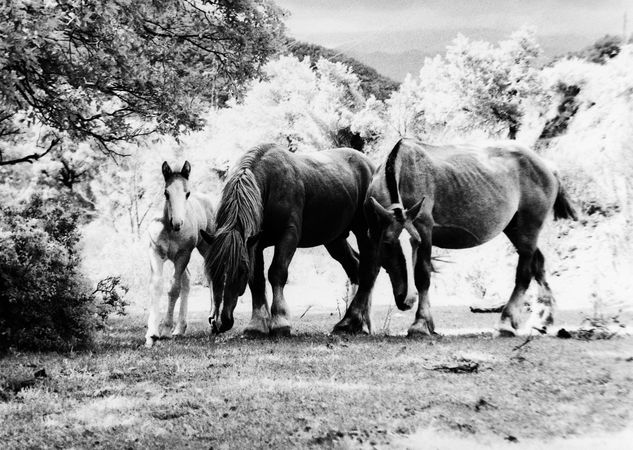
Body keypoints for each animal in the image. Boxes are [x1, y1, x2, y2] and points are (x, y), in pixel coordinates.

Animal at [145, 162, 215, 348]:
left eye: (187, 193)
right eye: (166, 192)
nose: (177, 223)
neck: (169, 230)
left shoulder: (182, 256)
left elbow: (173, 289)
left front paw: (165, 330)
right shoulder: (155, 253)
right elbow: (156, 286)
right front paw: (151, 334)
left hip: (205, 248)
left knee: (210, 275)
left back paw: (214, 320)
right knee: (188, 279)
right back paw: (180, 328)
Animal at [201, 143, 376, 334]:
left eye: (240, 271)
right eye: (211, 271)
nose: (218, 321)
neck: (270, 183)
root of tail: (369, 165)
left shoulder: (288, 235)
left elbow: (277, 272)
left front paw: (280, 321)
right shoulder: (255, 244)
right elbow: (257, 280)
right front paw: (257, 324)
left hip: (364, 231)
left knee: (368, 270)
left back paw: (354, 321)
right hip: (335, 240)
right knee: (355, 267)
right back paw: (358, 323)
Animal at [338, 139, 576, 336]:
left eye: (414, 243)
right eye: (388, 243)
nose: (408, 299)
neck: (401, 170)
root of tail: (547, 166)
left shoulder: (424, 229)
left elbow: (422, 276)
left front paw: (421, 324)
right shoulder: (376, 233)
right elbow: (368, 273)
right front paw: (349, 321)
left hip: (528, 226)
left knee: (525, 273)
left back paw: (506, 322)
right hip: (515, 229)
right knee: (538, 264)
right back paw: (543, 319)